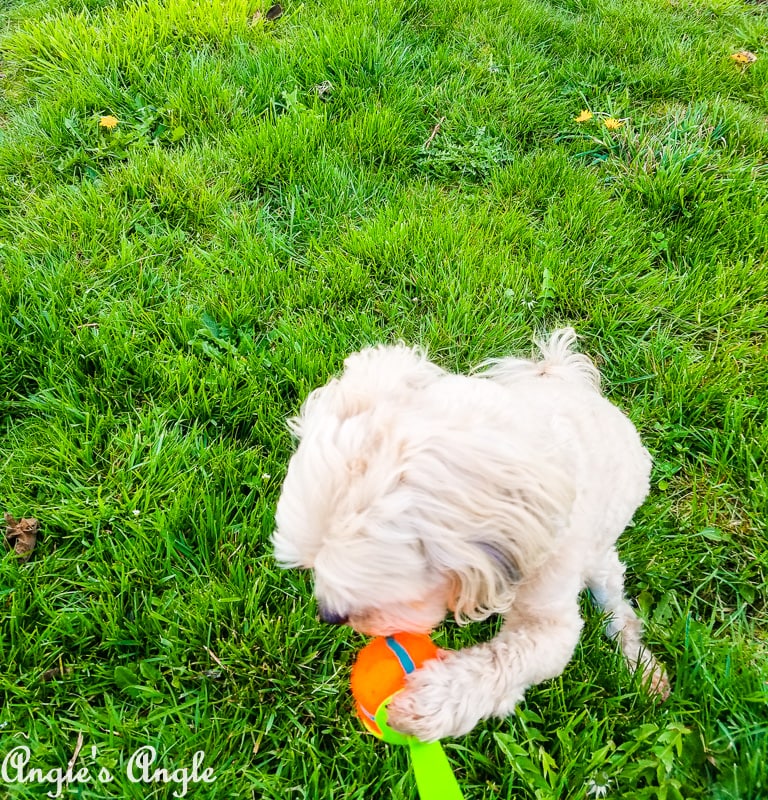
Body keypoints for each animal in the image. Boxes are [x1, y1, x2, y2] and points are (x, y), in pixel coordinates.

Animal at [272, 328, 668, 740]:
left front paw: (431, 702)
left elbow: (505, 659)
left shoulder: (552, 616)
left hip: (603, 556)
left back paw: (641, 667)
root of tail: (560, 373)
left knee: (617, 608)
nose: (327, 616)